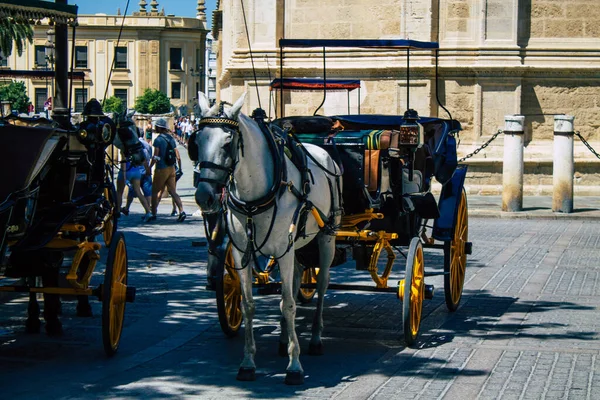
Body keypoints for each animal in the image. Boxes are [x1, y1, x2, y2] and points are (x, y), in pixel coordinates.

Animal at [193, 93, 342, 384]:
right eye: (198, 140)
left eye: (228, 142)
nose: (204, 196)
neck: (256, 195)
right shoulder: (242, 252)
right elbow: (249, 304)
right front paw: (248, 362)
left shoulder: (284, 249)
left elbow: (289, 304)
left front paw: (294, 365)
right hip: (296, 244)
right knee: (296, 279)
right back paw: (284, 338)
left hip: (325, 238)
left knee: (321, 286)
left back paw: (315, 338)